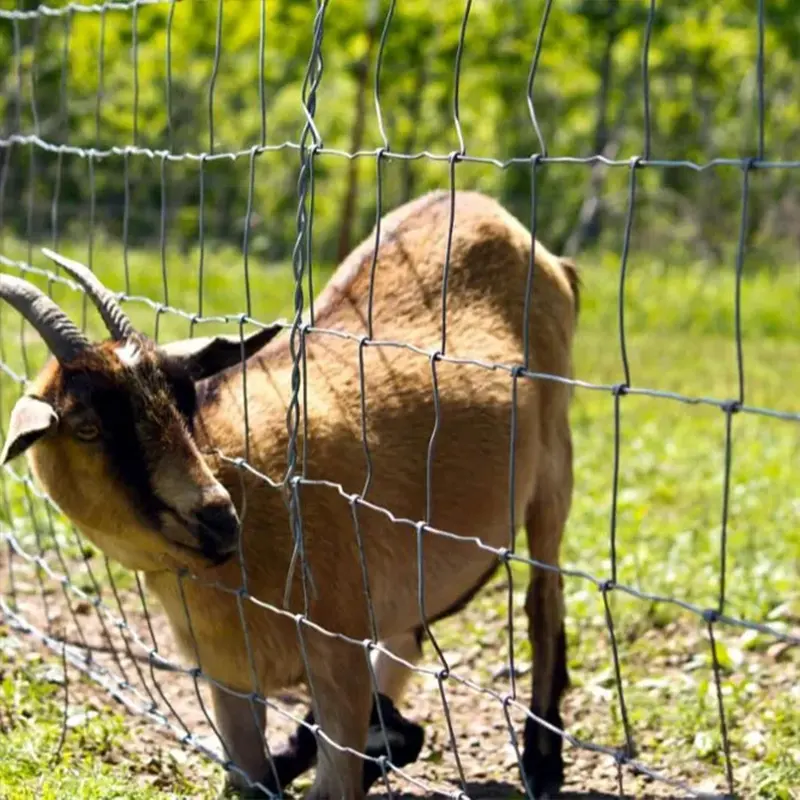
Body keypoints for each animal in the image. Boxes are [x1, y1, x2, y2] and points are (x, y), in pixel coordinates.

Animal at [0, 191, 576, 796]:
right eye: (87, 427)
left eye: (184, 398)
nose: (217, 520)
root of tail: (477, 205)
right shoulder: (230, 680)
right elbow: (251, 777)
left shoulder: (337, 657)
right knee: (409, 644)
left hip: (554, 470)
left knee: (543, 599)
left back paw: (541, 763)